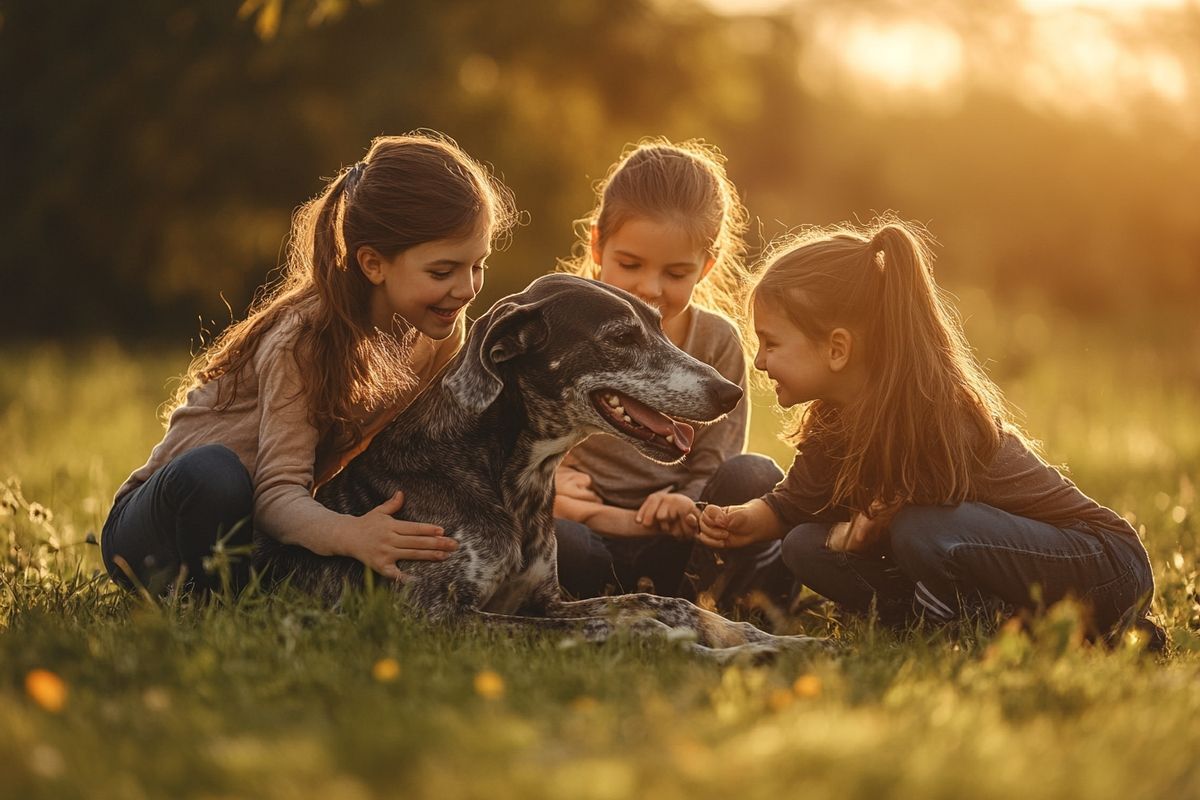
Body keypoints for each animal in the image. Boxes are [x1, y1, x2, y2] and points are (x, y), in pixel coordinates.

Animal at [256, 272, 820, 662]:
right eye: (621, 337)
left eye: (659, 326)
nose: (730, 391)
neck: (506, 478)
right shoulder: (430, 618)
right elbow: (634, 626)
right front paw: (720, 651)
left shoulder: (544, 601)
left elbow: (668, 603)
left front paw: (767, 639)